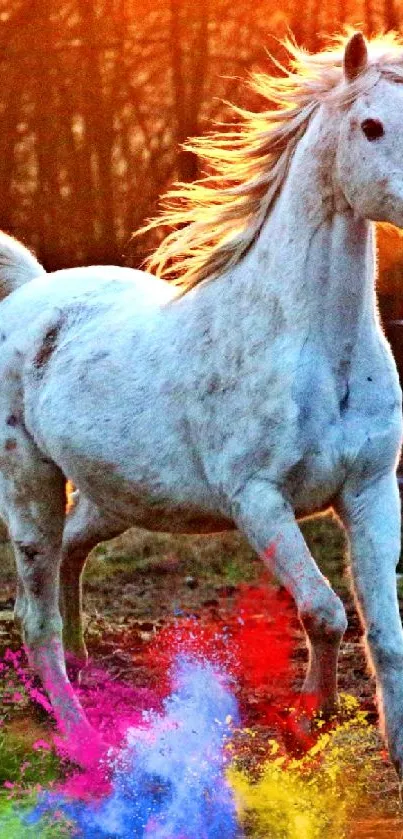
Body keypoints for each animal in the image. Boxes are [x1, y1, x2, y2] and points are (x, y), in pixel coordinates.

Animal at [0, 31, 403, 776]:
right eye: (370, 126)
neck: (310, 343)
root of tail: (31, 294)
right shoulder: (257, 499)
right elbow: (324, 611)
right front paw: (312, 720)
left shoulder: (369, 490)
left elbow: (384, 632)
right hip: (29, 482)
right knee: (36, 616)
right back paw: (83, 741)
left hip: (118, 495)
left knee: (72, 553)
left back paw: (87, 665)